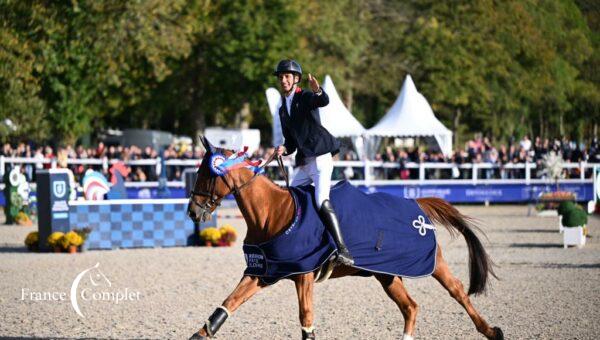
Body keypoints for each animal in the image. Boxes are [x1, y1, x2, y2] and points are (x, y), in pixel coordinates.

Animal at [188, 138, 502, 340]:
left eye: (205, 174)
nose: (192, 210)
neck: (272, 213)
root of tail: (417, 204)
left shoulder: (303, 274)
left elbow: (306, 317)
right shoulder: (263, 272)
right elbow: (228, 304)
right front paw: (200, 334)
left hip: (431, 263)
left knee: (457, 290)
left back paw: (491, 331)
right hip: (387, 274)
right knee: (410, 307)